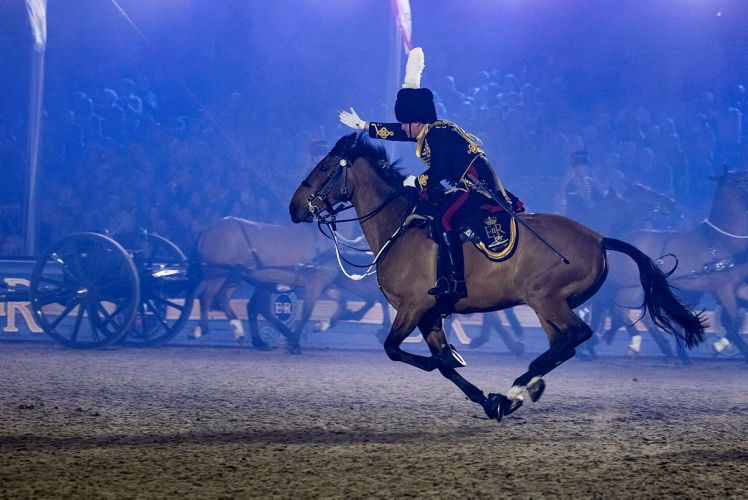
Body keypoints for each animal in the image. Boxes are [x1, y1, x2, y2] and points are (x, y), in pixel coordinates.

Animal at [289, 133, 705, 421]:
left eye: (323, 168)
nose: (294, 208)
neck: (399, 225)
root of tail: (599, 239)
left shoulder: (414, 307)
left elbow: (399, 351)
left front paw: (467, 372)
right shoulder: (428, 315)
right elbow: (441, 363)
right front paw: (483, 397)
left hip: (545, 298)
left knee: (576, 335)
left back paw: (518, 388)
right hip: (547, 306)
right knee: (563, 344)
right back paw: (519, 391)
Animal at [604, 170, 748, 362]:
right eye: (741, 180)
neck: (722, 242)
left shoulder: (737, 287)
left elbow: (736, 319)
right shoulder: (722, 289)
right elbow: (735, 321)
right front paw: (718, 346)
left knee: (637, 315)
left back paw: (666, 350)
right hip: (633, 288)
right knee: (622, 311)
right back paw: (639, 345)